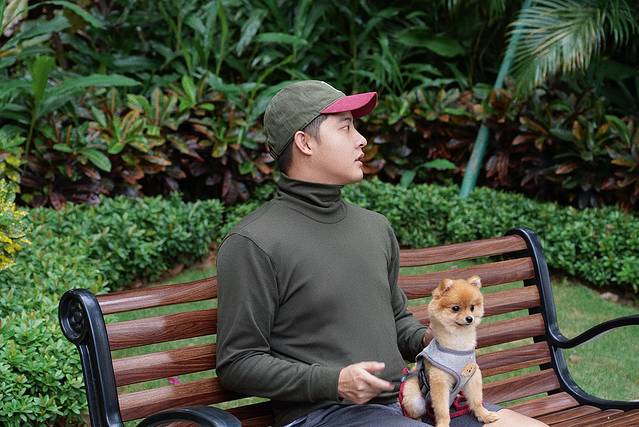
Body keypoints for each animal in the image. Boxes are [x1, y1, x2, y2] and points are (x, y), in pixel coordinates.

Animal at [399, 276, 499, 427]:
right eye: (455, 308)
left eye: (472, 307)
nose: (469, 318)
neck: (458, 345)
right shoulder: (439, 381)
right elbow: (442, 410)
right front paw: (443, 424)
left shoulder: (472, 375)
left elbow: (476, 400)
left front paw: (484, 415)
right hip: (413, 398)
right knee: (414, 412)